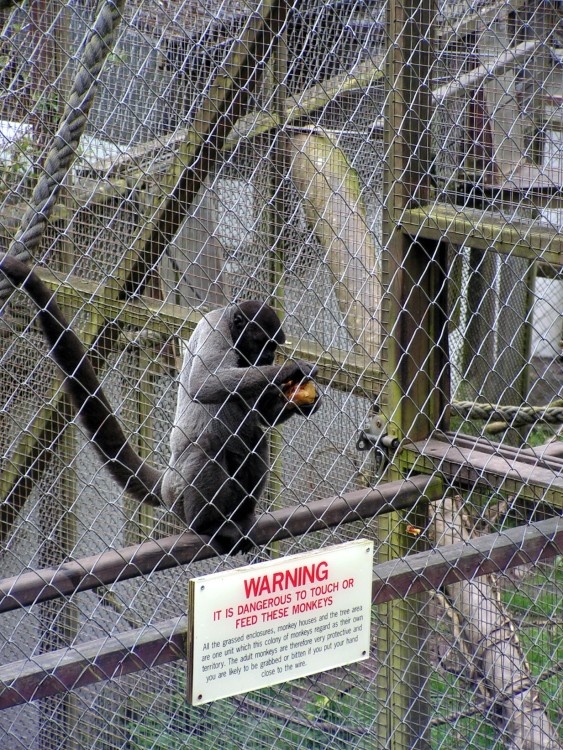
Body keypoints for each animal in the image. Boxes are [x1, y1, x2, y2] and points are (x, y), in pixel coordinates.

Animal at [0, 254, 320, 553]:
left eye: (272, 348)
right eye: (264, 344)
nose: (269, 358)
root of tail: (168, 480)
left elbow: (261, 415)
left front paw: (301, 402)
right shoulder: (216, 330)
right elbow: (204, 384)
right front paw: (291, 369)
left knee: (254, 438)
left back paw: (240, 517)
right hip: (180, 493)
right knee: (208, 447)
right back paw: (208, 525)